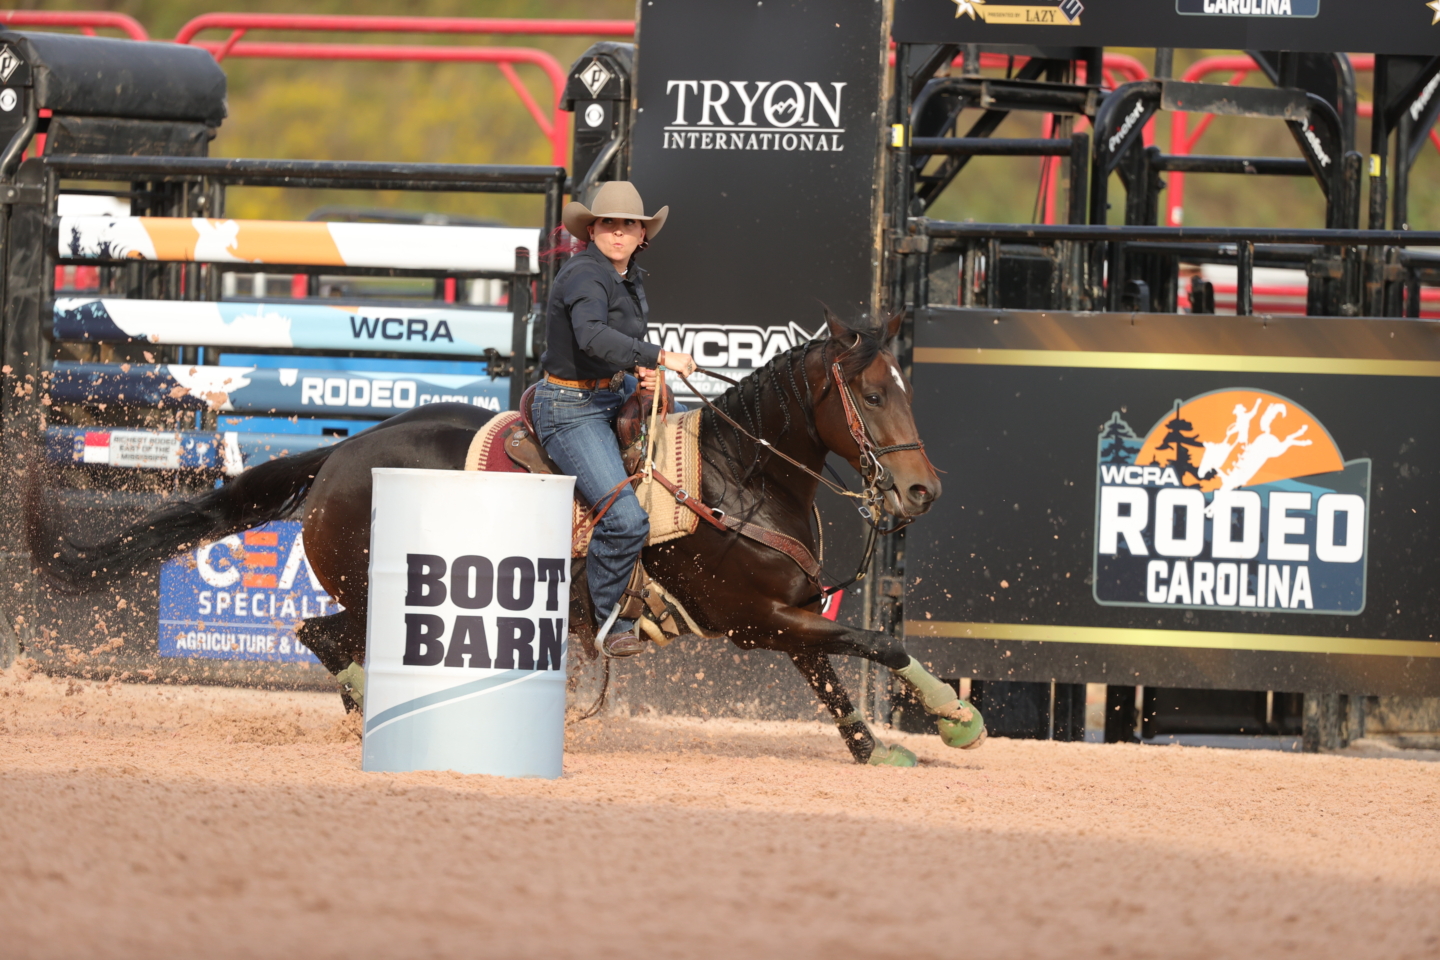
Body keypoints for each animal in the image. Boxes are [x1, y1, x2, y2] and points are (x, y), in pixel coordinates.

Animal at [33, 312, 984, 771]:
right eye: (871, 394)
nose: (923, 491)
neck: (733, 476)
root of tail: (341, 452)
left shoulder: (788, 614)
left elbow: (833, 680)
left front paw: (879, 747)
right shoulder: (754, 619)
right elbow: (875, 641)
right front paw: (958, 717)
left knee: (324, 637)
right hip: (376, 591)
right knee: (317, 634)